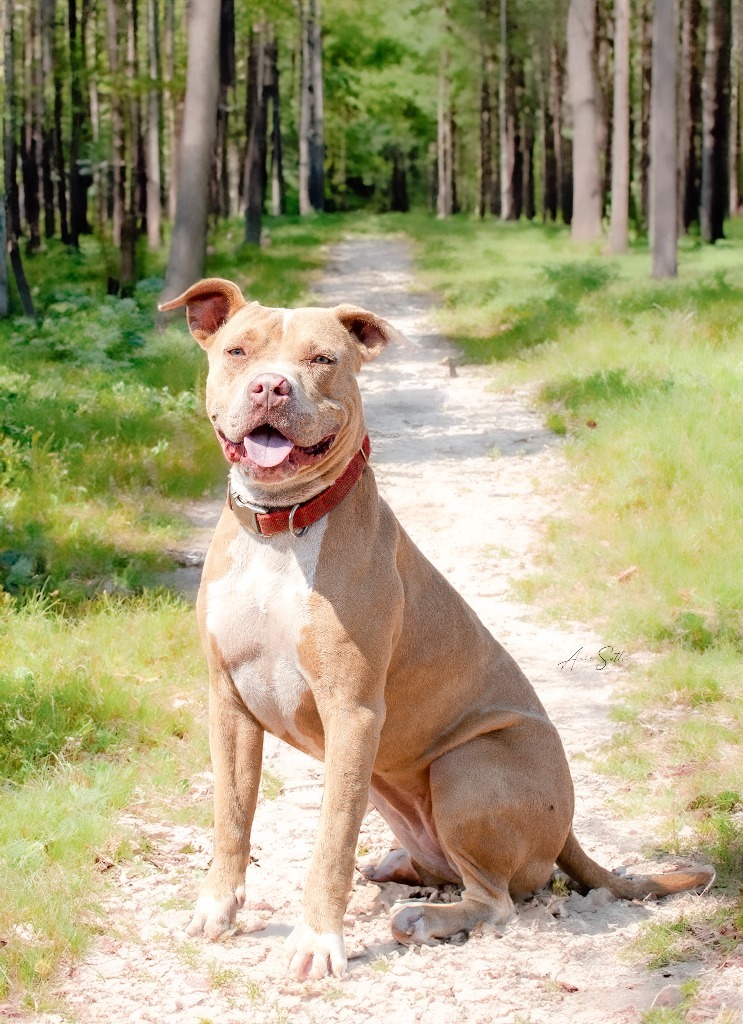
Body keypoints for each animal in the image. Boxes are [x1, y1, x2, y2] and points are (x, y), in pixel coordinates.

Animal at [159, 278, 720, 974]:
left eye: (323, 359)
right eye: (238, 351)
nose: (270, 386)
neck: (282, 530)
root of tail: (569, 834)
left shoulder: (352, 712)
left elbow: (330, 843)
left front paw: (317, 941)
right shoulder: (229, 700)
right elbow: (232, 819)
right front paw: (216, 909)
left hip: (468, 765)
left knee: (496, 901)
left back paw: (425, 917)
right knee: (449, 870)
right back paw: (402, 868)